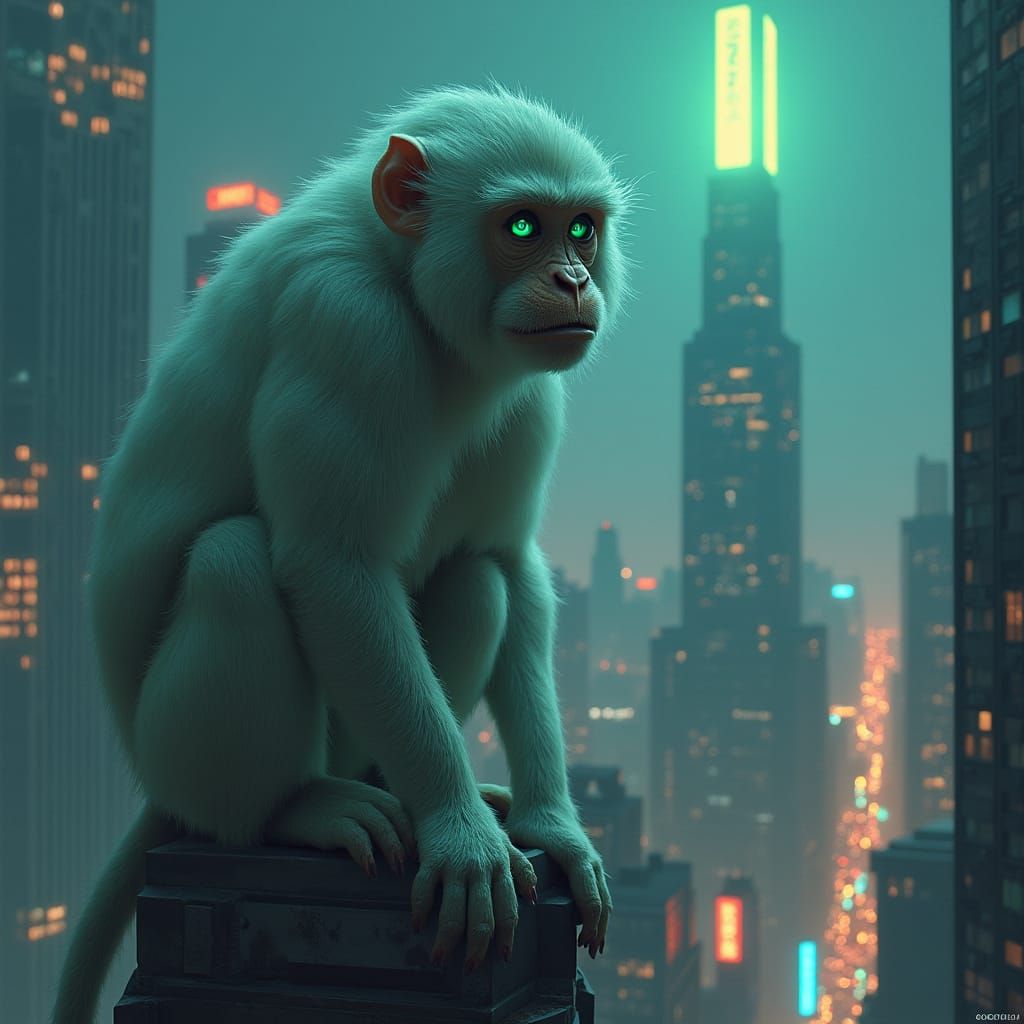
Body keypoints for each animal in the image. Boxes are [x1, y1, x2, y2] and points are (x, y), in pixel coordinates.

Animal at [52, 82, 635, 1023]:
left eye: (581, 228)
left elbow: (509, 563)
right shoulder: (346, 324)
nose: (574, 281)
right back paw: (291, 811)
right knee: (234, 564)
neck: (407, 275)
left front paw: (552, 823)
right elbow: (334, 568)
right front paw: (462, 833)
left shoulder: (531, 387)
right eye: (521, 226)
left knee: (476, 581)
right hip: (174, 754)